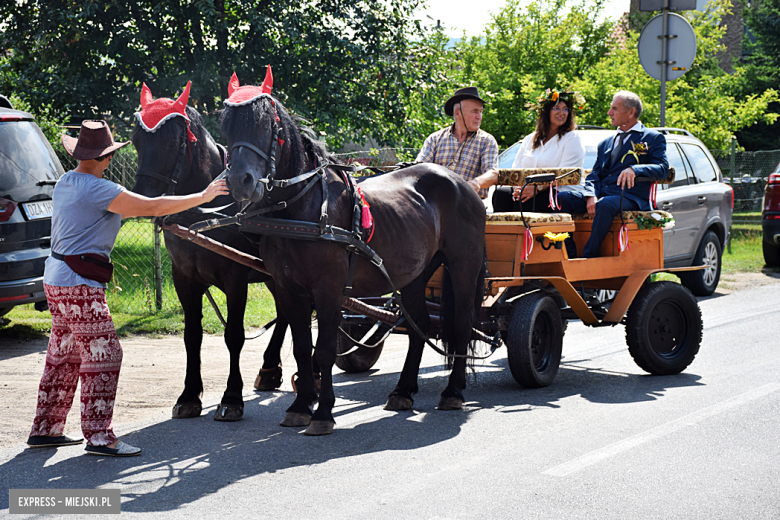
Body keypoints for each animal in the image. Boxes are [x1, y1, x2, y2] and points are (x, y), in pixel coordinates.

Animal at [131, 83, 290, 420]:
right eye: (137, 142)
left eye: (172, 143)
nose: (144, 200)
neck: (205, 212)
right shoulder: (184, 277)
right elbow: (192, 334)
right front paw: (190, 394)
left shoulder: (235, 278)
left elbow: (234, 335)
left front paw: (231, 397)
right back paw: (270, 369)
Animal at [221, 81, 488, 436]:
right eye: (226, 126)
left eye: (266, 125)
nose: (240, 182)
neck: (302, 209)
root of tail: (462, 184)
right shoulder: (290, 290)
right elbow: (302, 348)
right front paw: (300, 406)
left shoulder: (329, 290)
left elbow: (323, 350)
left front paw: (323, 413)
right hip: (414, 274)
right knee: (419, 325)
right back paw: (403, 391)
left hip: (462, 265)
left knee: (460, 324)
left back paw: (453, 391)